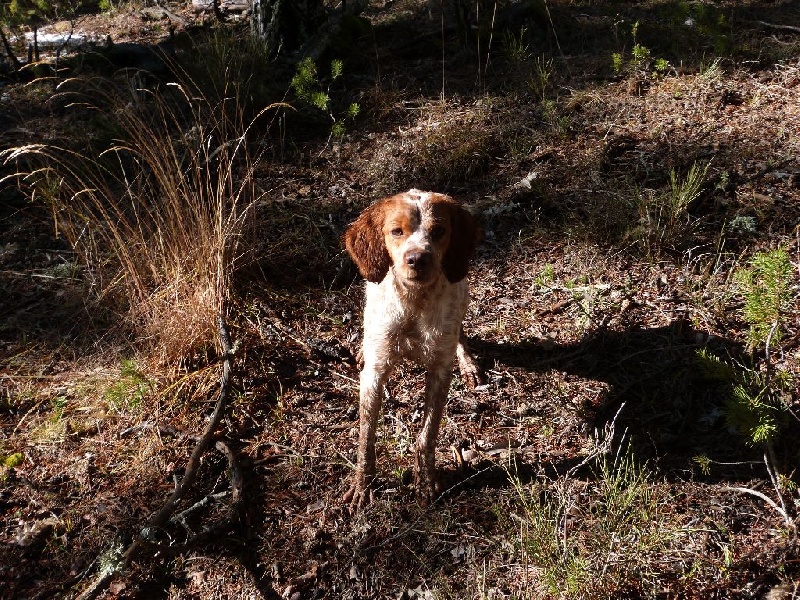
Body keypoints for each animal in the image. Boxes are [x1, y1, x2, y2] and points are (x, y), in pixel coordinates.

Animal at [344, 188, 482, 506]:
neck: (414, 302)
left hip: (463, 293)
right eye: (397, 231)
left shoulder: (440, 371)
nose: (417, 259)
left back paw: (468, 362)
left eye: (439, 231)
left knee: (461, 333)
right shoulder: (374, 374)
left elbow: (427, 435)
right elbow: (366, 437)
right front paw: (362, 484)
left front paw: (426, 480)